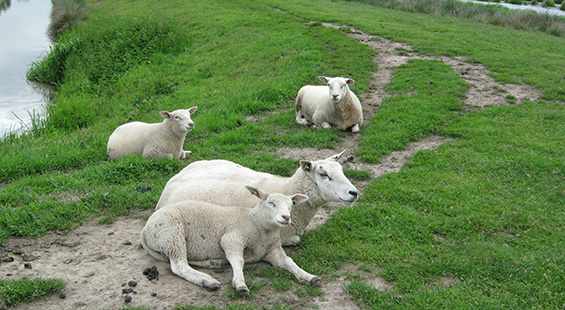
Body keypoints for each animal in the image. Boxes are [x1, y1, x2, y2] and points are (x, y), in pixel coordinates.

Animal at [141, 185, 318, 294]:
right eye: (271, 203)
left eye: (291, 205)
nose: (286, 217)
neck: (256, 224)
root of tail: (145, 229)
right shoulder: (232, 238)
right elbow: (238, 260)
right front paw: (240, 284)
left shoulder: (272, 250)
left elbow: (288, 261)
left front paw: (308, 276)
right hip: (172, 234)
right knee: (179, 265)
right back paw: (207, 281)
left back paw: (214, 263)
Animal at [154, 151, 356, 246]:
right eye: (323, 174)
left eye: (341, 170)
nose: (353, 192)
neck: (285, 187)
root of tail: (171, 181)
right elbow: (295, 239)